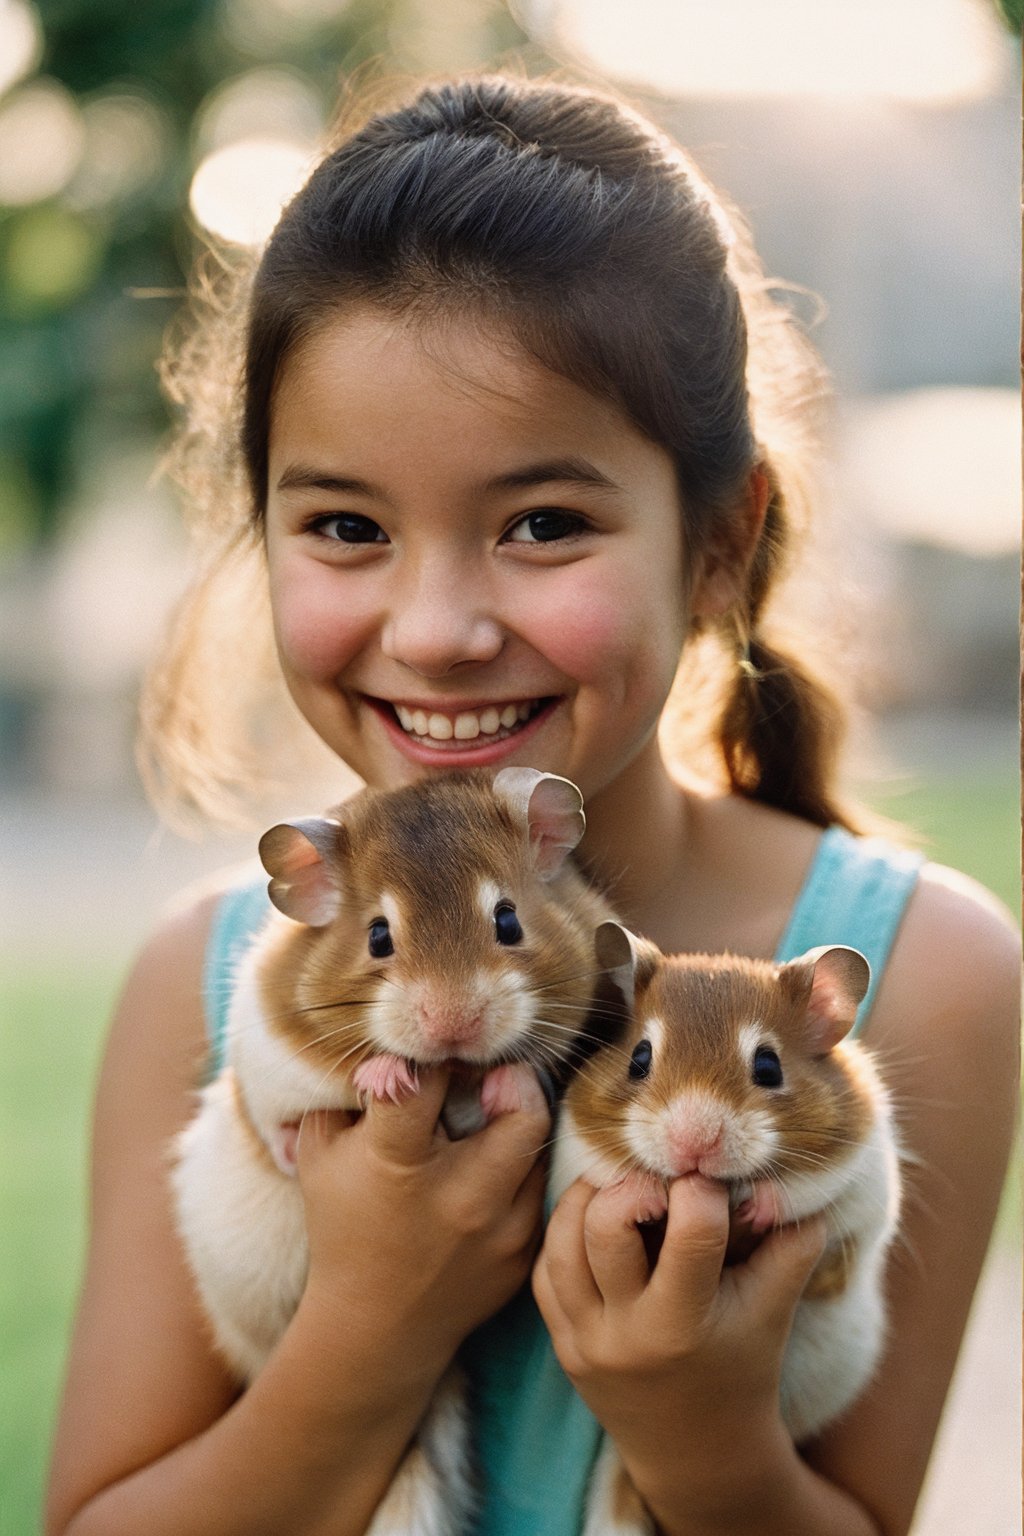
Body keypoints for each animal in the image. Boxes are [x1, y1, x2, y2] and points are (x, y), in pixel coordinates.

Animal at [171, 764, 614, 1536]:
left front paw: (503, 1081)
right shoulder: (269, 1069)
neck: (454, 1072)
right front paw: (387, 1077)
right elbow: (290, 1125)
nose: (453, 1023)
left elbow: (524, 1068)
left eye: (507, 921)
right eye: (378, 937)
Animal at [552, 921, 902, 1536]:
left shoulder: (856, 1164)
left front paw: (755, 1208)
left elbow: (796, 1192)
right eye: (638, 1058)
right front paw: (647, 1196)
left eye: (768, 1067)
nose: (693, 1146)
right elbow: (612, 1176)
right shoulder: (574, 1154)